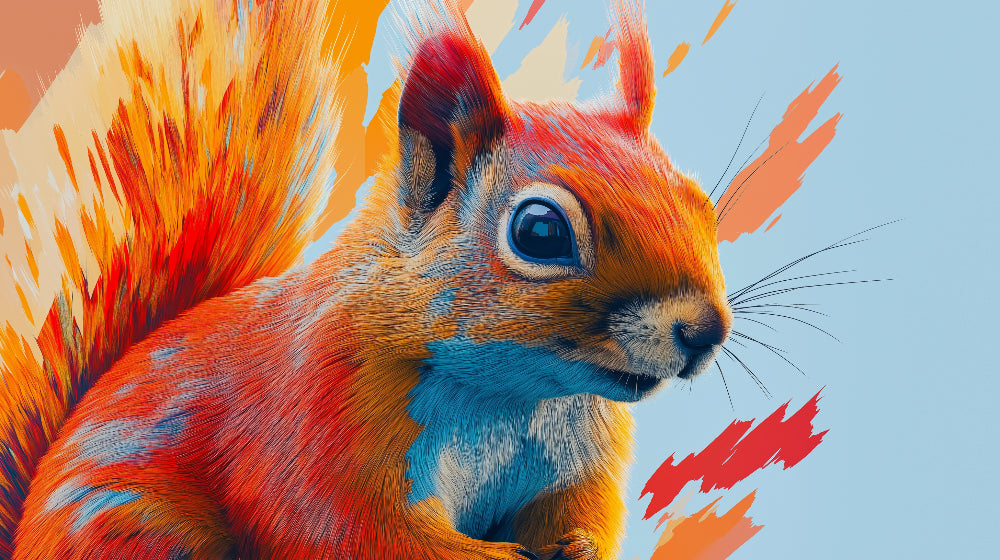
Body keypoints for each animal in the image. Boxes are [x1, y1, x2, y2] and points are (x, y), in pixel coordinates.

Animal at [0, 0, 732, 558]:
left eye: (700, 202)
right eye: (540, 232)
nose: (704, 331)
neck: (510, 398)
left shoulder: (571, 466)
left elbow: (573, 516)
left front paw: (572, 548)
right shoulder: (319, 417)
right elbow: (353, 531)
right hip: (133, 530)